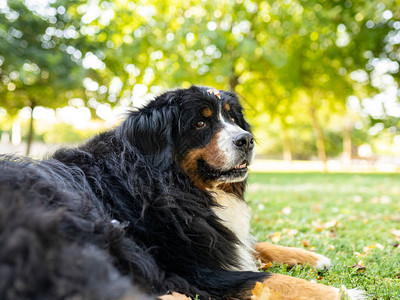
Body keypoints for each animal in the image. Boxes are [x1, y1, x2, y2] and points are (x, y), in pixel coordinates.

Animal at [0, 85, 364, 298]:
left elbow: (252, 245)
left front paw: (312, 256)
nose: (246, 140)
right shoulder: (195, 270)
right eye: (201, 123)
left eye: (234, 119)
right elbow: (265, 278)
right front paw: (341, 293)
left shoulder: (210, 238)